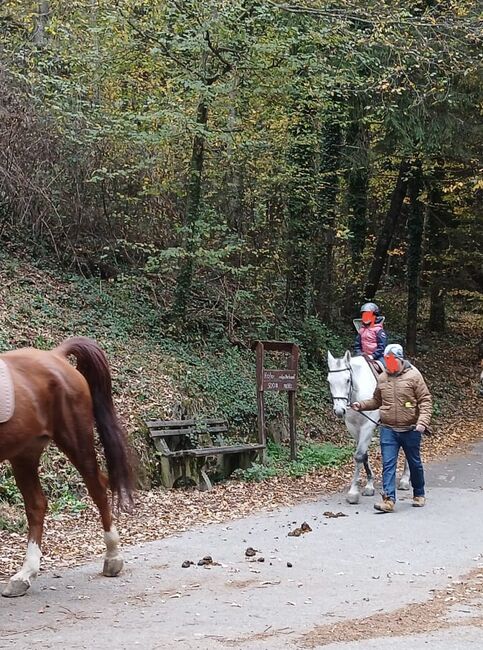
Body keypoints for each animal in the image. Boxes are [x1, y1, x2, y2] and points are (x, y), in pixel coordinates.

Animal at [0, 336, 133, 596]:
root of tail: (56, 355)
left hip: (75, 440)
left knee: (97, 487)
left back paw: (113, 557)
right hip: (24, 453)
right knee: (36, 504)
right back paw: (25, 575)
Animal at [328, 352, 410, 504]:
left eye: (347, 380)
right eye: (329, 381)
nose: (339, 410)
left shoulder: (367, 426)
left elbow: (359, 455)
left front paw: (353, 493)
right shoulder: (354, 429)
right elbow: (364, 455)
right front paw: (369, 485)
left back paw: (405, 480)